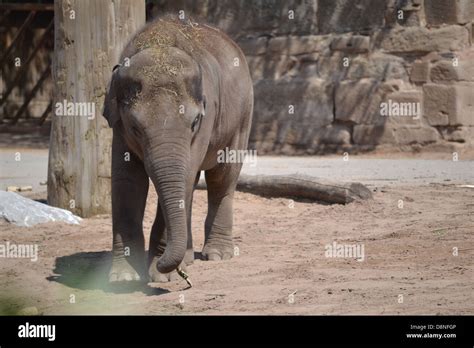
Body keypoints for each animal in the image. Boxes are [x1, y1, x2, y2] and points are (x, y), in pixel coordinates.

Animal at [102, 16, 254, 282]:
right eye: (135, 127)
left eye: (194, 122)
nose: (181, 274)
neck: (158, 43)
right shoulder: (118, 128)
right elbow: (126, 181)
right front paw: (123, 278)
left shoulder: (206, 119)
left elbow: (184, 177)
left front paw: (164, 276)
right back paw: (190, 258)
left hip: (243, 116)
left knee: (222, 178)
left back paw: (217, 255)